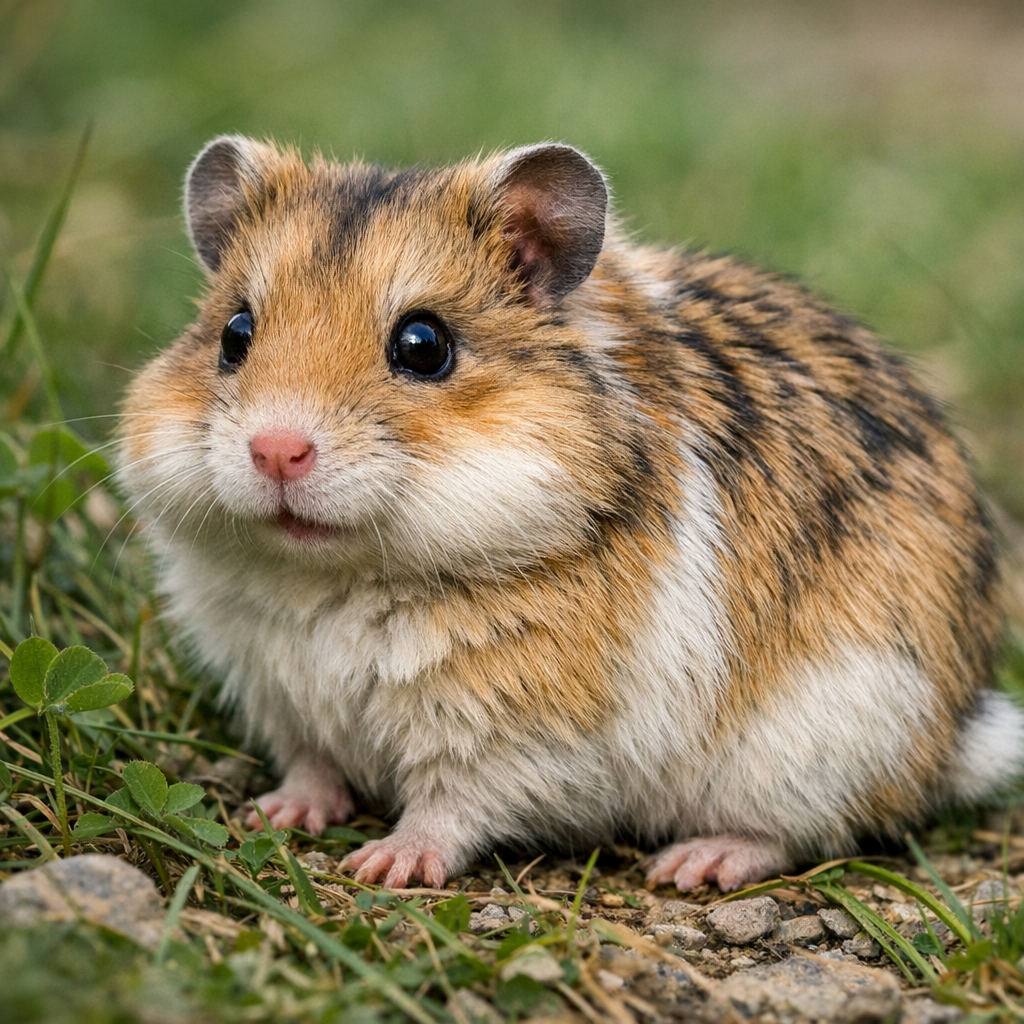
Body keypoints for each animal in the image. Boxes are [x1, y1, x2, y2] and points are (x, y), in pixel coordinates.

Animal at [119, 135, 1024, 892]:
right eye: (234, 334)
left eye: (423, 345)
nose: (276, 450)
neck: (341, 574)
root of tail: (954, 735)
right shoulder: (283, 694)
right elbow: (311, 766)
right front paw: (271, 815)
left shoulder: (516, 730)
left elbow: (451, 806)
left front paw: (384, 865)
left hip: (824, 738)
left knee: (806, 830)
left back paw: (693, 866)